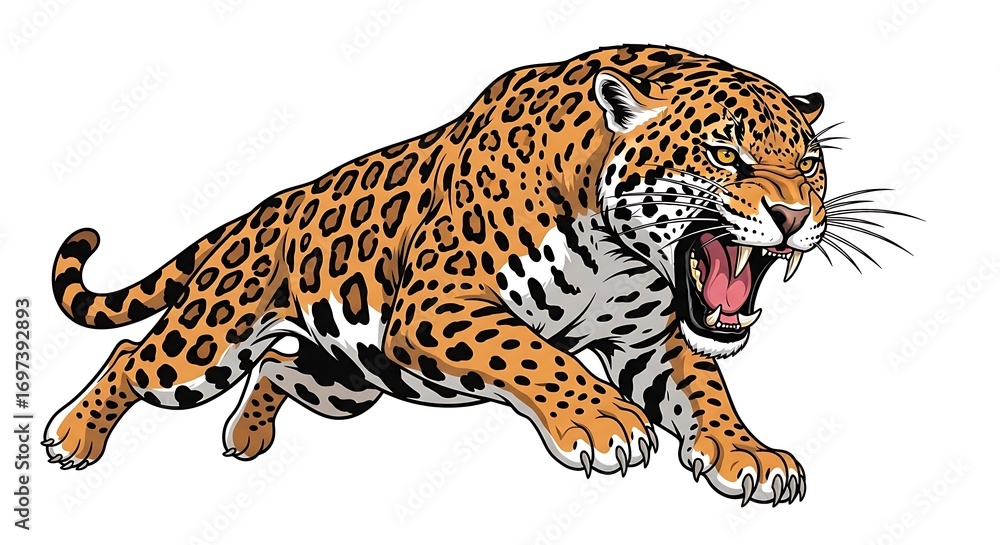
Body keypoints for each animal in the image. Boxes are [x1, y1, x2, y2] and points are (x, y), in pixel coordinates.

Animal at [44, 44, 853, 506]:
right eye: (724, 156)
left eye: (811, 162)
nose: (794, 214)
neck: (618, 253)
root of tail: (263, 210)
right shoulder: (439, 300)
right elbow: (536, 354)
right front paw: (602, 421)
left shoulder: (647, 341)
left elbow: (705, 388)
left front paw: (748, 453)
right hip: (206, 344)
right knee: (133, 356)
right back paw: (71, 437)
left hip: (346, 383)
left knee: (278, 366)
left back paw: (246, 433)